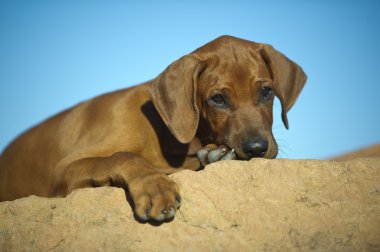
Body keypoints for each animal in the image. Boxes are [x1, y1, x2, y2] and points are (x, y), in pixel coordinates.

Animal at [0, 35, 306, 220]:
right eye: (217, 99)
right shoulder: (65, 170)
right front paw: (155, 186)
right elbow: (122, 156)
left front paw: (214, 155)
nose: (256, 149)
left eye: (266, 92)